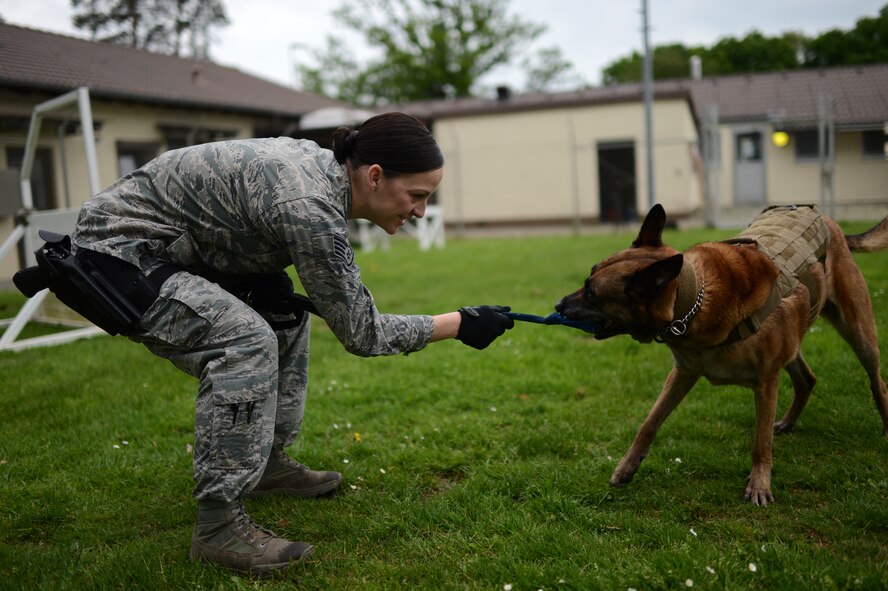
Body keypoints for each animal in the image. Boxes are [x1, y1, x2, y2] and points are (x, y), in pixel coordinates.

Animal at [556, 206, 888, 506]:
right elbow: (649, 423)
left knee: (876, 381)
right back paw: (789, 422)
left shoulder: (766, 382)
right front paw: (626, 467)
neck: (694, 301)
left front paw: (759, 485)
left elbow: (760, 443)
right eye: (587, 279)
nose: (558, 305)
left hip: (858, 331)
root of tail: (828, 220)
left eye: (591, 293)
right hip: (794, 339)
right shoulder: (682, 374)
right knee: (807, 379)